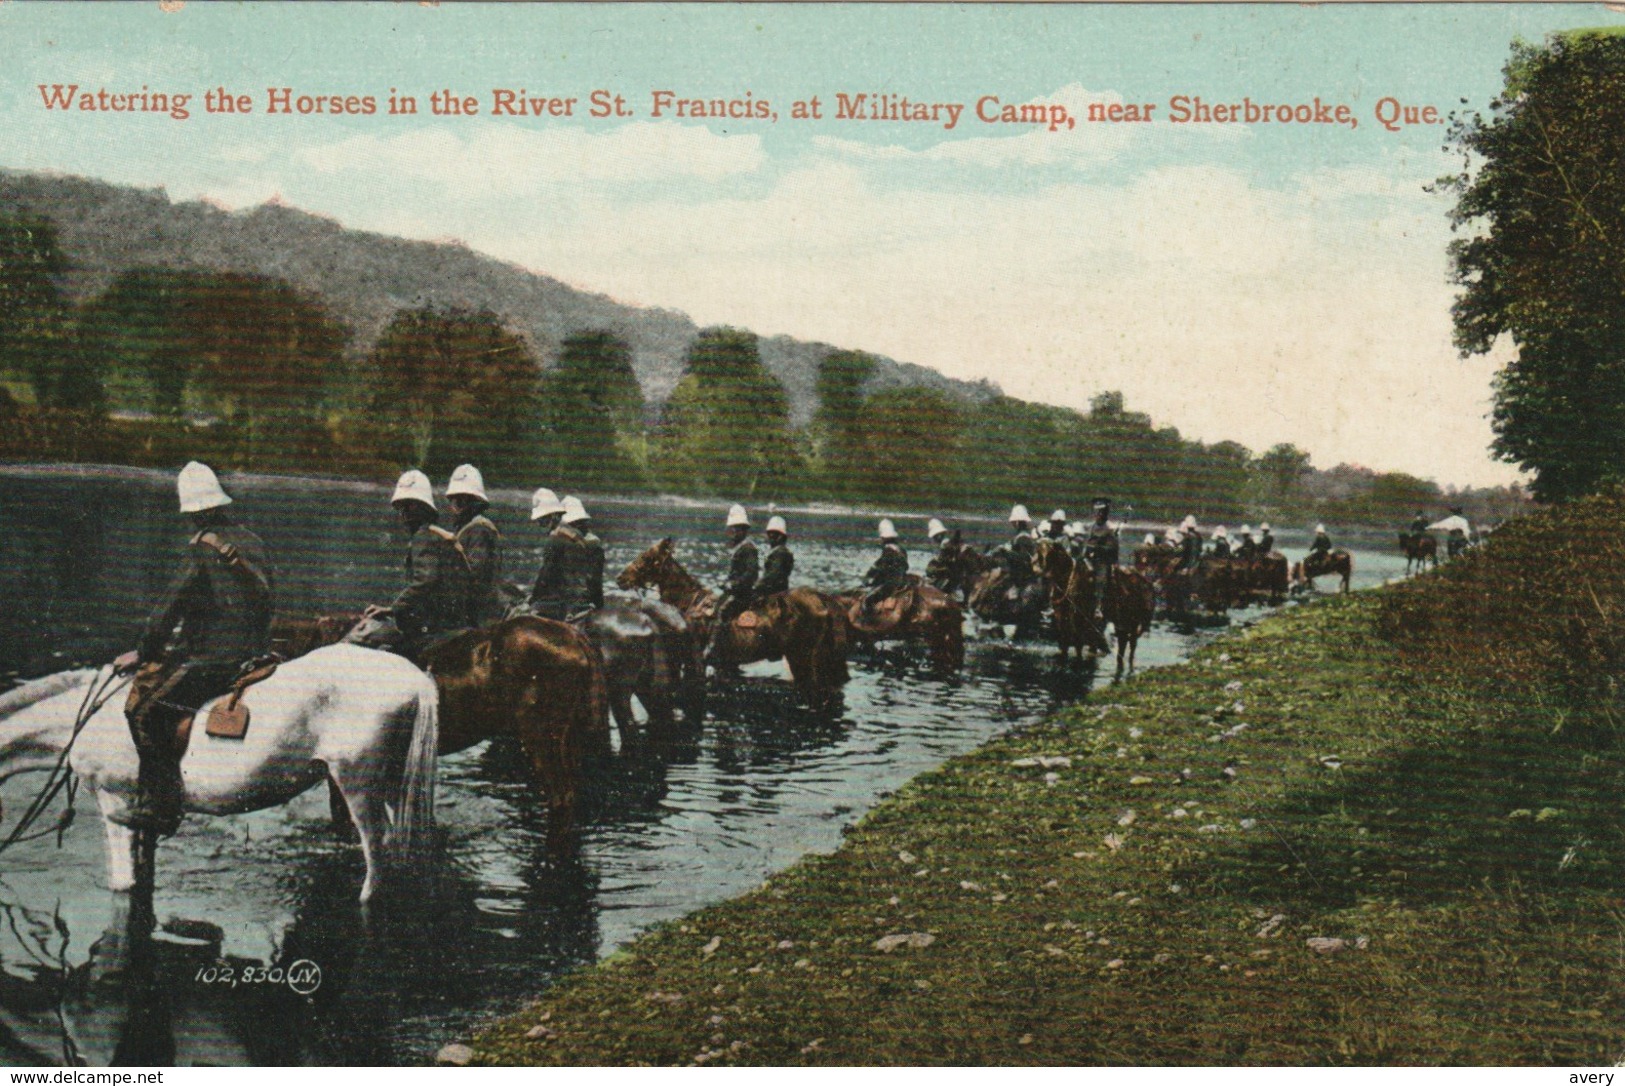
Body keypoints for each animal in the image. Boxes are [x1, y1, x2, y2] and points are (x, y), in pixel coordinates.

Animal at [0, 643, 438, 897]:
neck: (85, 718)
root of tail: (415, 677)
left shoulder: (115, 803)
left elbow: (122, 884)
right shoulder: (145, 814)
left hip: (357, 784)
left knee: (377, 851)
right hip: (396, 785)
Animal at [611, 539, 851, 708]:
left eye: (646, 557)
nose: (620, 578)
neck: (688, 603)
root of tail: (821, 598)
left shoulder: (692, 662)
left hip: (806, 658)